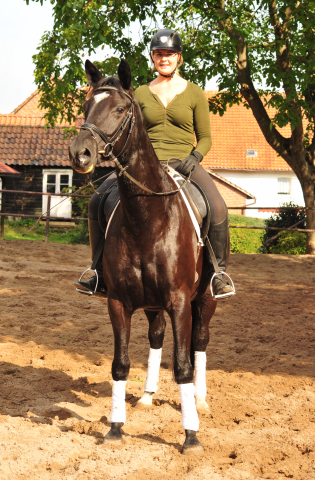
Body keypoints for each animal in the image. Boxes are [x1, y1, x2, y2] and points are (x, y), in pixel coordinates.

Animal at [69, 59, 217, 454]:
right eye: (86, 107)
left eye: (120, 109)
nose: (80, 154)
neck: (148, 218)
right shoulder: (119, 301)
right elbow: (120, 364)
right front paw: (116, 427)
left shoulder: (180, 301)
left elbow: (182, 366)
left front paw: (191, 435)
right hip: (152, 303)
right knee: (156, 335)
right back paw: (149, 395)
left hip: (206, 299)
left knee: (199, 341)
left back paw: (200, 400)